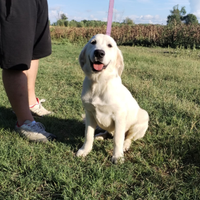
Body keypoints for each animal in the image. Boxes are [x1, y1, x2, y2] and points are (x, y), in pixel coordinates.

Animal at [76, 33, 148, 163]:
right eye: (93, 42)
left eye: (110, 45)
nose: (99, 53)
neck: (99, 82)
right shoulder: (89, 113)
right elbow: (88, 135)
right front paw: (85, 150)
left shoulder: (119, 116)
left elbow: (118, 139)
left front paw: (117, 156)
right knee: (108, 132)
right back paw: (100, 136)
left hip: (143, 117)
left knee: (128, 138)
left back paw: (125, 145)